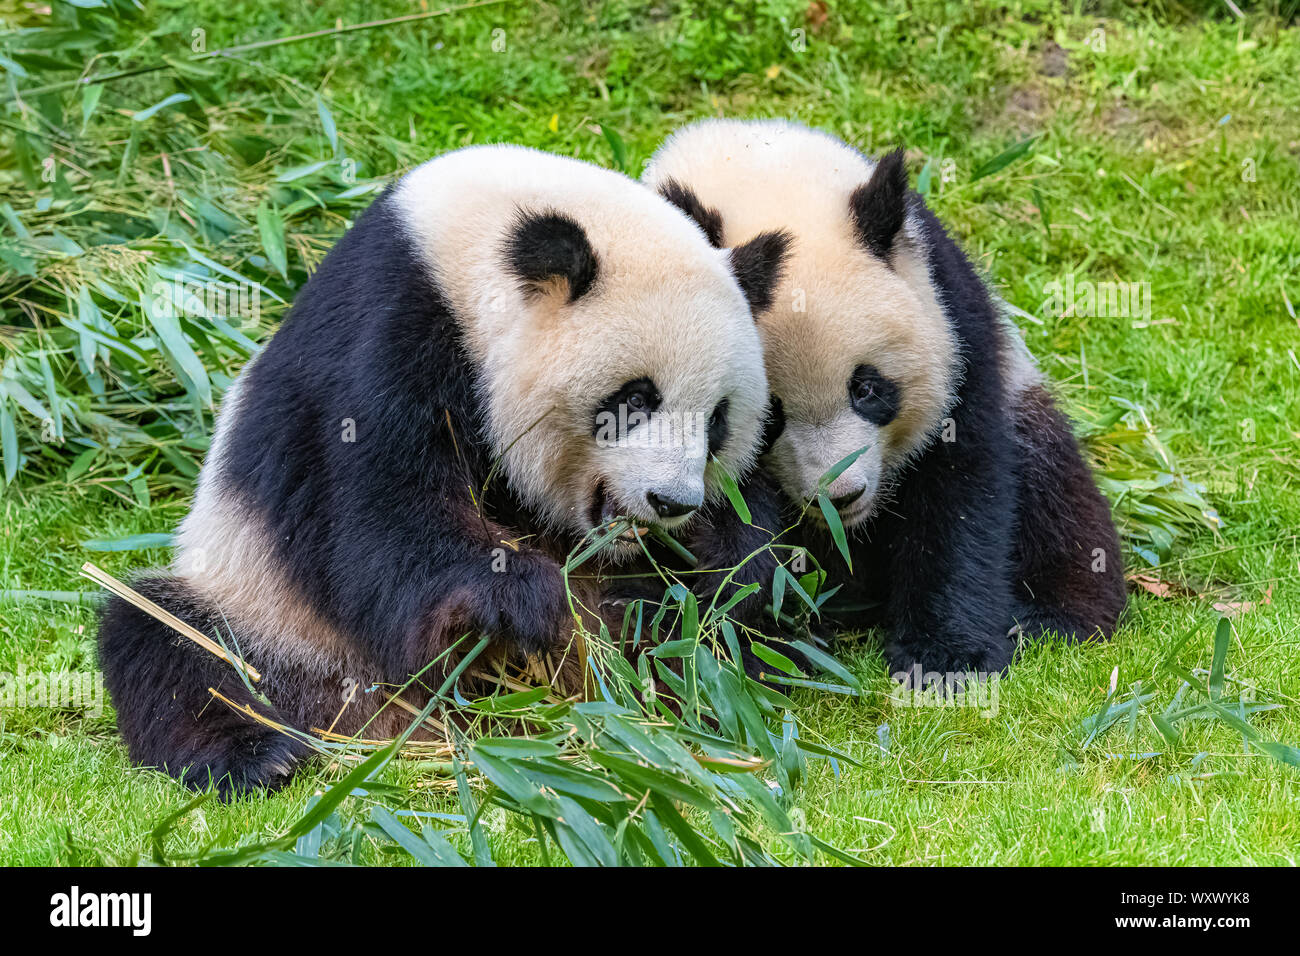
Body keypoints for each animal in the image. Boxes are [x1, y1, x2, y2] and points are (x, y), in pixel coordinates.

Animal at [97, 144, 791, 797]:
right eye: (635, 399)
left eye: (718, 419)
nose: (671, 501)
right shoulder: (386, 330)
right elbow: (374, 514)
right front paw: (520, 598)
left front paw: (734, 567)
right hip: (266, 611)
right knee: (167, 640)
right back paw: (259, 756)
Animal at [643, 119, 1126, 676]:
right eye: (771, 416)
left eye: (868, 389)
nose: (840, 496)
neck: (755, 163)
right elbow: (721, 513)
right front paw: (745, 627)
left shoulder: (955, 321)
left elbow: (960, 489)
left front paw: (943, 660)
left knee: (1056, 493)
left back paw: (1051, 615)